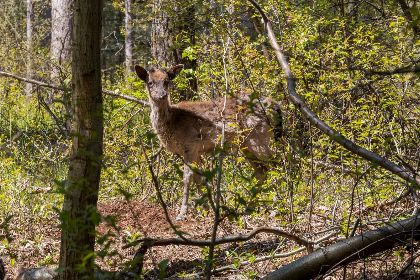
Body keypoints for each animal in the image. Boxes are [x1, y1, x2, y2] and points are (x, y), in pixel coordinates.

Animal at [135, 64, 282, 220]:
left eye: (167, 81)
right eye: (150, 82)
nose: (162, 95)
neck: (173, 123)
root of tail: (276, 106)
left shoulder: (190, 145)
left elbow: (187, 178)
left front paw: (182, 213)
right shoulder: (196, 151)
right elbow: (198, 179)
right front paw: (205, 210)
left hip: (260, 137)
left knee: (277, 165)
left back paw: (276, 208)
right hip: (247, 145)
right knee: (262, 171)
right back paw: (251, 207)